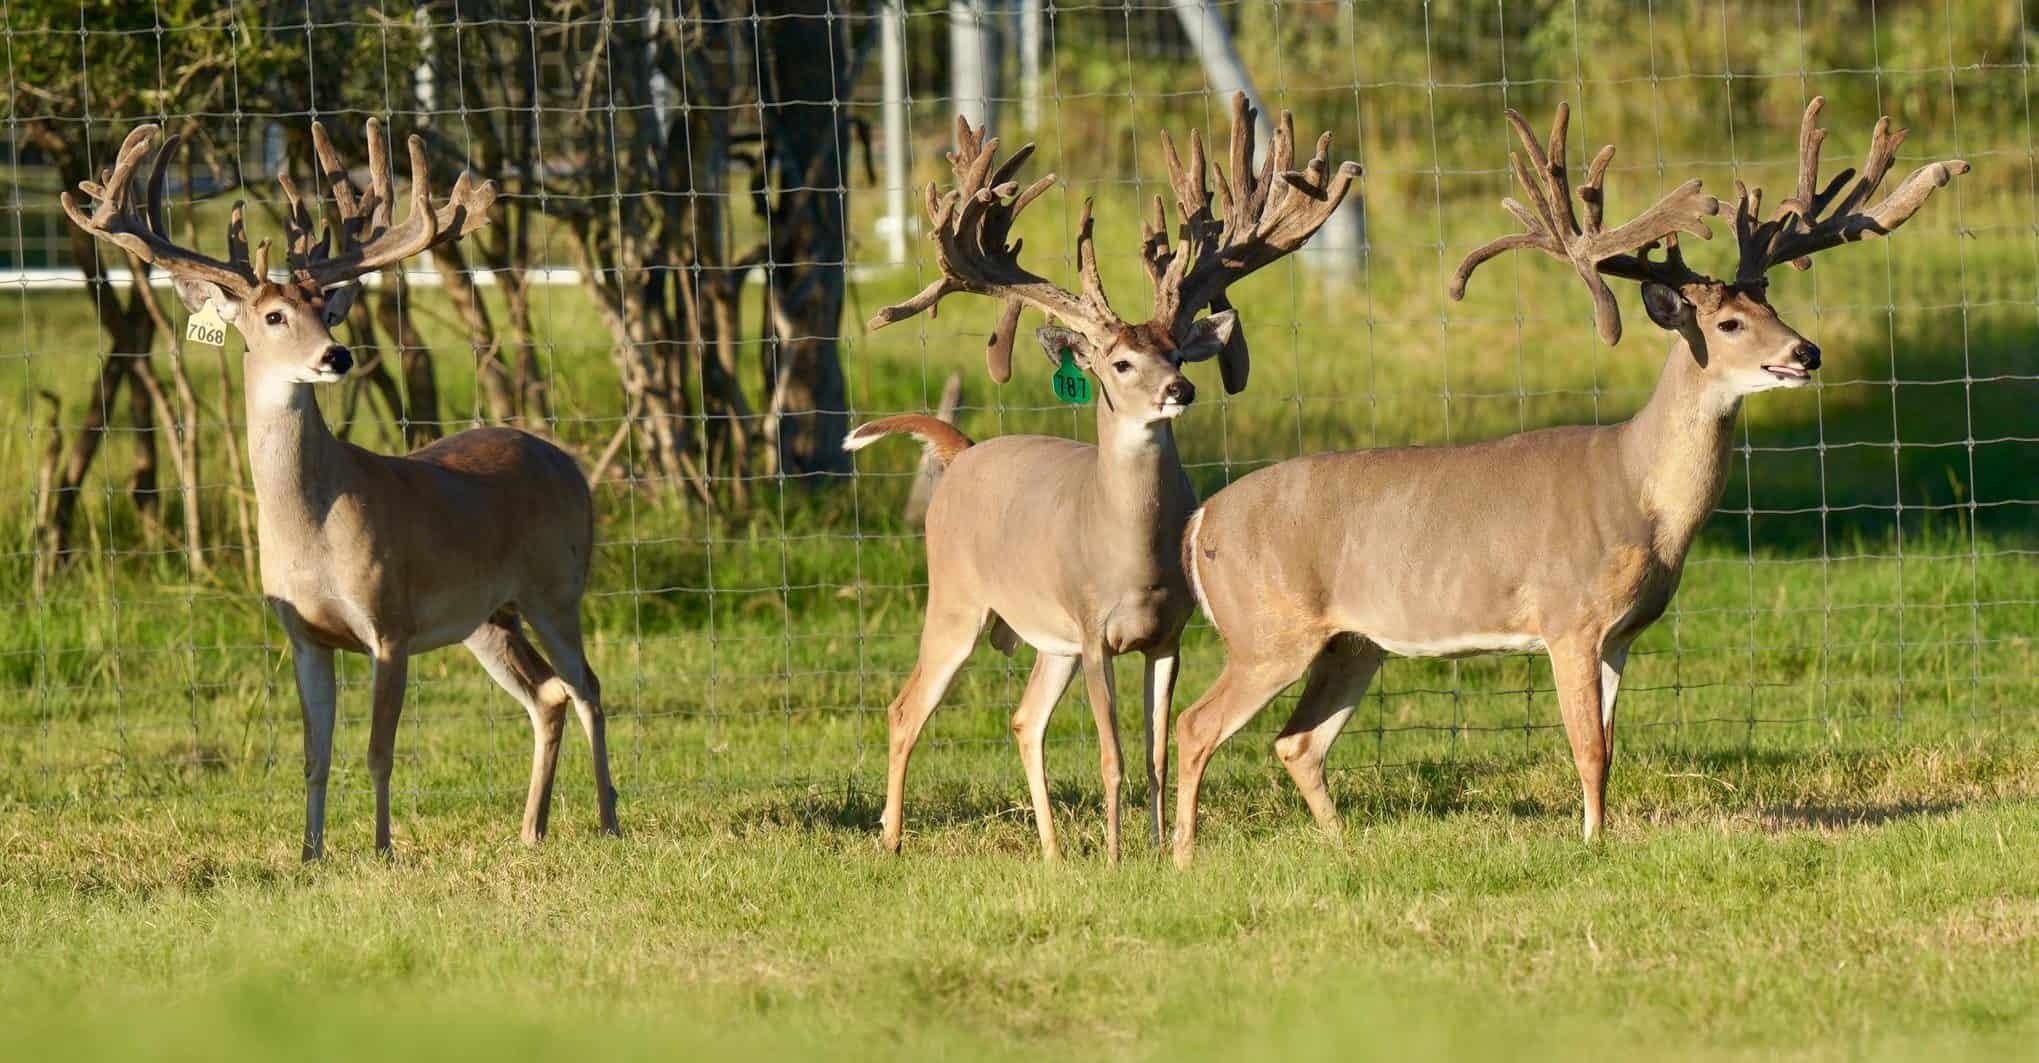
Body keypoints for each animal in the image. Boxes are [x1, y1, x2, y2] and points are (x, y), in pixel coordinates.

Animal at [64, 121, 619, 860]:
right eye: (273, 317)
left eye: (326, 308)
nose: (337, 354)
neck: (313, 530)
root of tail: (569, 463)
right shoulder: (304, 635)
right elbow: (315, 755)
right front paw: (309, 853)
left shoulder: (388, 623)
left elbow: (379, 751)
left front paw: (383, 850)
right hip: (487, 616)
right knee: (548, 693)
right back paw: (531, 830)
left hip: (556, 586)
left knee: (586, 686)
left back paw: (609, 819)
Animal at [849, 97, 1358, 861]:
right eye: (1119, 363)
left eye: (1177, 350)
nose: (1180, 389)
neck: (1131, 553)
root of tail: (962, 450)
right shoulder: (1093, 627)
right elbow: (1111, 754)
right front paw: (1120, 857)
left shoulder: (1168, 633)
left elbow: (1154, 752)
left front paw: (1156, 847)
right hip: (957, 596)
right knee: (907, 706)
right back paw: (890, 838)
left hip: (1043, 636)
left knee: (1024, 719)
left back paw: (1053, 852)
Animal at [1168, 98, 1966, 866]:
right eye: (1731, 324)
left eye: (1772, 305)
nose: (1807, 351)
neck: (1640, 494)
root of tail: (1199, 523)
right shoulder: (1567, 618)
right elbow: (1585, 748)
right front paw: (1590, 843)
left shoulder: (1621, 633)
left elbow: (1608, 748)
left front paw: (1600, 834)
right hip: (1267, 630)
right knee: (1194, 723)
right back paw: (1182, 856)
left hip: (1352, 643)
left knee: (1296, 741)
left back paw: (1341, 848)